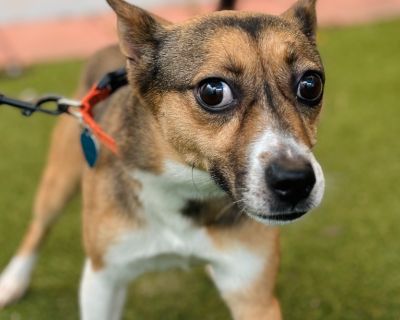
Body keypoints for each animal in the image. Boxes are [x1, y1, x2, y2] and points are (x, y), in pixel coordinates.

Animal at [0, 0, 324, 318]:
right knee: (39, 226)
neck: (185, 186)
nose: (296, 181)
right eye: (213, 92)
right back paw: (13, 281)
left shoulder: (252, 293)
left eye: (311, 85)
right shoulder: (102, 279)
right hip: (59, 181)